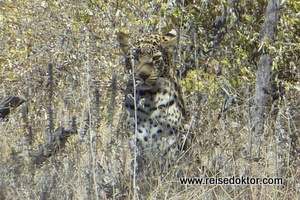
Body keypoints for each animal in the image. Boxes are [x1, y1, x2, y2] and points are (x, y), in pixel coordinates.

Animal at [117, 30, 188, 172]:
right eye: (135, 57)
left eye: (155, 58)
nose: (144, 75)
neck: (149, 96)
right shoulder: (136, 136)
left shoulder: (172, 136)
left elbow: (168, 159)